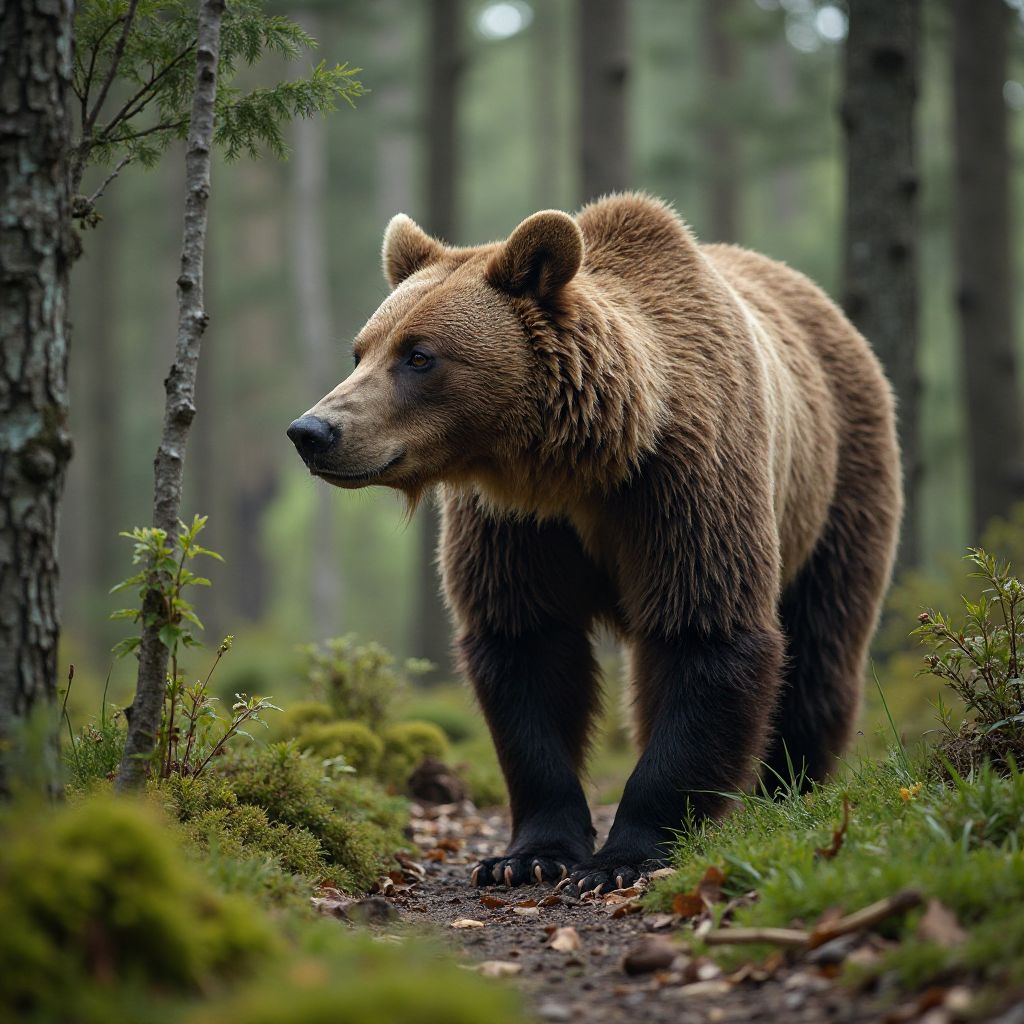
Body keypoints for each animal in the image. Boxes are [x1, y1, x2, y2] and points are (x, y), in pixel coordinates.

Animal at [287, 193, 902, 894]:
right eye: (360, 351)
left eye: (419, 355)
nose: (313, 430)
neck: (578, 467)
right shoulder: (517, 526)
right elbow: (527, 652)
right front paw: (527, 855)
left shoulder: (685, 486)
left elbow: (706, 634)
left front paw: (624, 857)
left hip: (838, 484)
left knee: (822, 647)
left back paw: (788, 792)